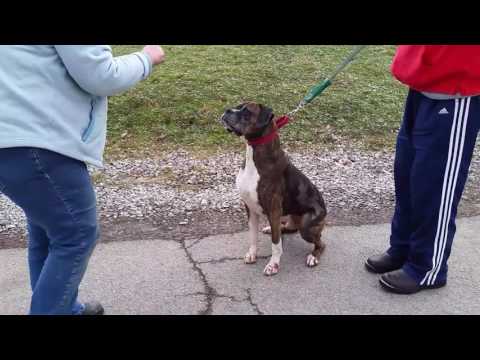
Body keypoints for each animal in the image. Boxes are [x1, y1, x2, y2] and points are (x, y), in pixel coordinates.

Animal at [220, 101, 326, 276]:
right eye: (237, 106)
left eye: (247, 112)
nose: (227, 110)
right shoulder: (250, 208)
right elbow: (253, 236)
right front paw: (252, 254)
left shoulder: (274, 209)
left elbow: (276, 244)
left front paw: (273, 265)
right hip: (290, 218)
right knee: (287, 229)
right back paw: (271, 228)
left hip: (307, 224)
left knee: (320, 243)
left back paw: (313, 257)